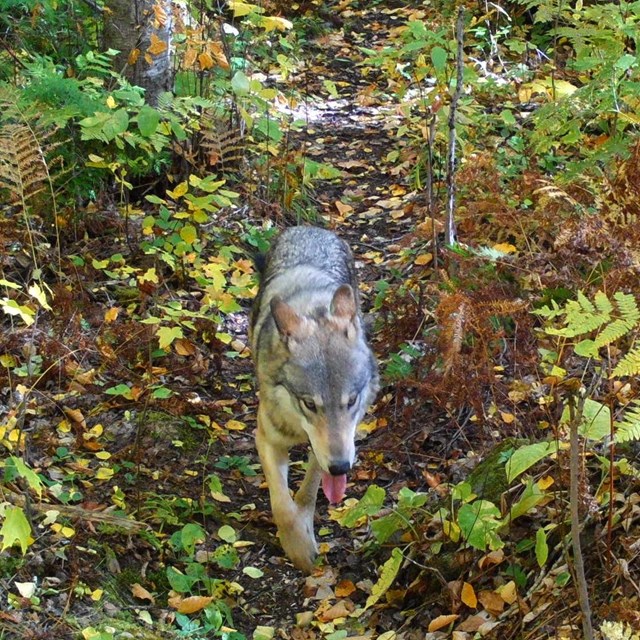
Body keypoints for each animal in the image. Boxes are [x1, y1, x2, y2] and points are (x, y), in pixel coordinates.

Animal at [250, 228, 380, 572]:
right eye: (310, 404)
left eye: (351, 401)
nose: (341, 467)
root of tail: (309, 227)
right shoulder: (266, 438)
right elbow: (282, 506)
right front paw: (298, 548)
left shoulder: (324, 452)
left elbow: (307, 493)